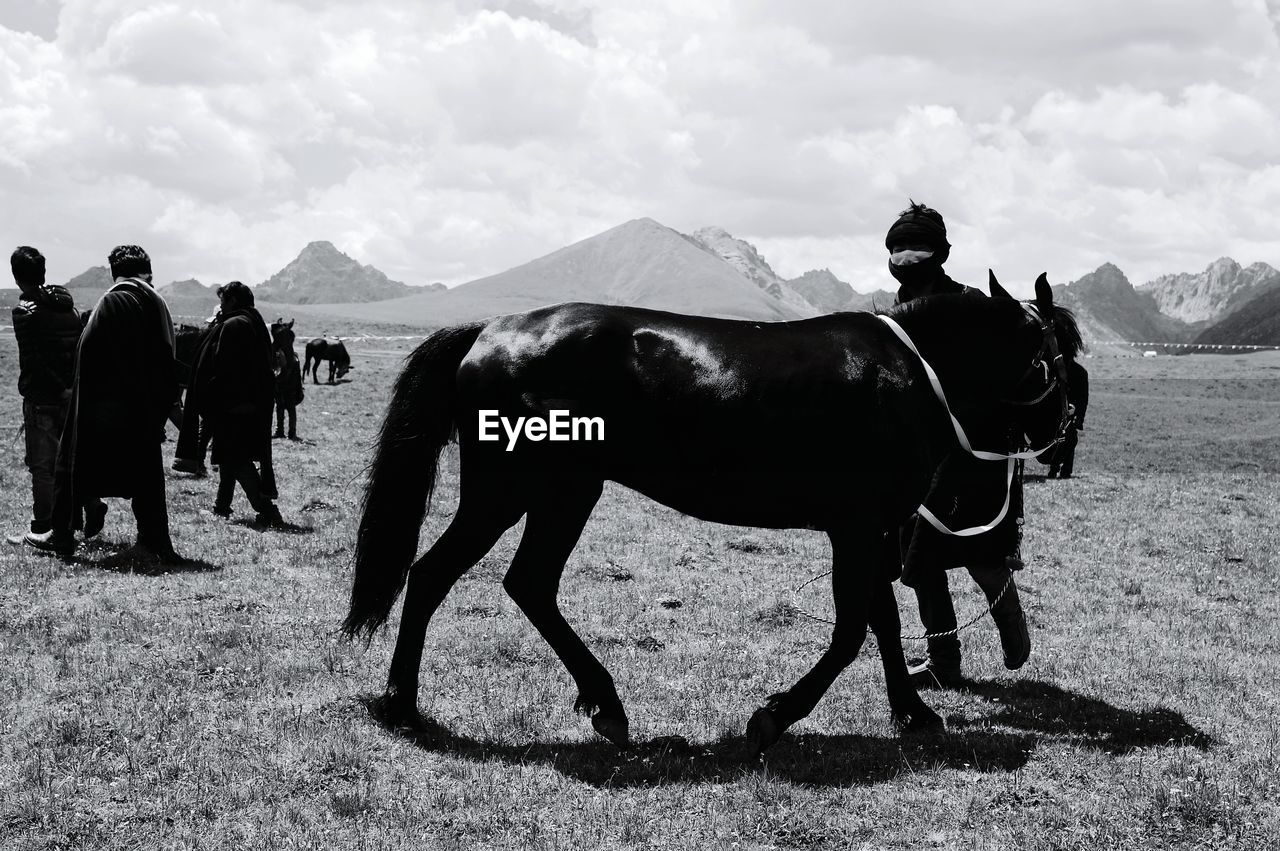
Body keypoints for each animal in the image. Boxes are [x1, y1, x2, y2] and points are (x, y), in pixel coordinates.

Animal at [343, 272, 1080, 752]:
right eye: (1062, 354)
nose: (1064, 433)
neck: (911, 370)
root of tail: (488, 333)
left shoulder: (866, 527)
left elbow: (882, 622)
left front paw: (912, 712)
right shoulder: (857, 526)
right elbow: (852, 631)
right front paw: (775, 715)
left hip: (560, 493)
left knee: (521, 583)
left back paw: (597, 703)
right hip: (520, 491)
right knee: (439, 575)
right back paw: (406, 704)